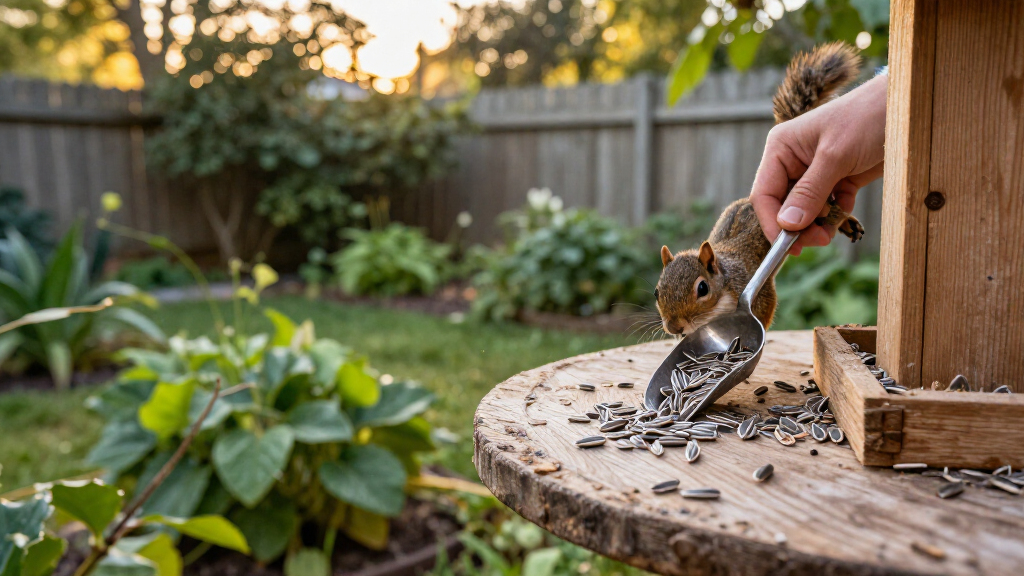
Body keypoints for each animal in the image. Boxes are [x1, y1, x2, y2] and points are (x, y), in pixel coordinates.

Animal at [655, 41, 866, 337]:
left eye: (702, 288)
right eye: (656, 291)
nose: (675, 328)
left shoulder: (757, 291)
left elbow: (763, 310)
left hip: (822, 207)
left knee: (837, 212)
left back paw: (849, 223)